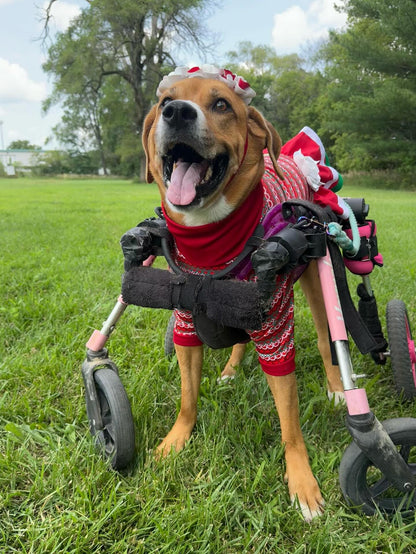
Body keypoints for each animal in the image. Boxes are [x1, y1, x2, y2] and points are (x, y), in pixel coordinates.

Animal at [141, 67, 342, 520]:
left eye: (221, 104)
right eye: (165, 101)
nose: (177, 112)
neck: (211, 239)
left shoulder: (276, 330)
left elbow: (290, 423)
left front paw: (302, 482)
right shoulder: (185, 326)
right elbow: (187, 398)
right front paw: (174, 441)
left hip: (315, 285)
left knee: (327, 341)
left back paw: (339, 389)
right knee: (238, 342)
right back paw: (231, 370)